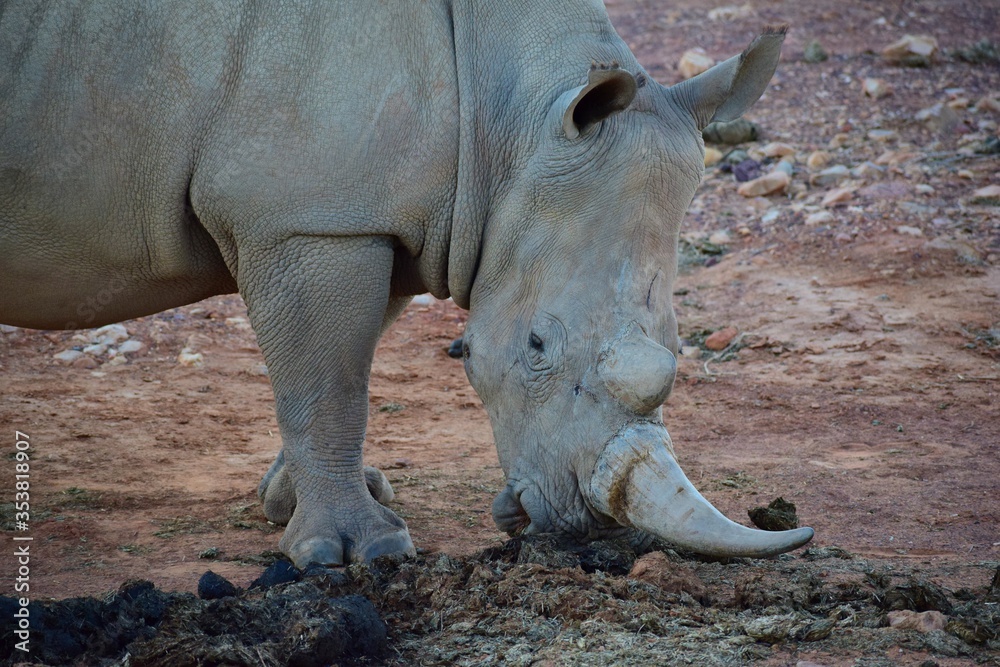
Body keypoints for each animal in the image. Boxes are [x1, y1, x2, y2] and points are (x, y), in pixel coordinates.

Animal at [1, 0, 813, 567]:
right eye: (537, 345)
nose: (582, 525)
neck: (508, 113)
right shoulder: (311, 218)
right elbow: (329, 381)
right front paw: (355, 554)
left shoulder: (374, 211)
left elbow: (339, 367)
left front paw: (302, 501)